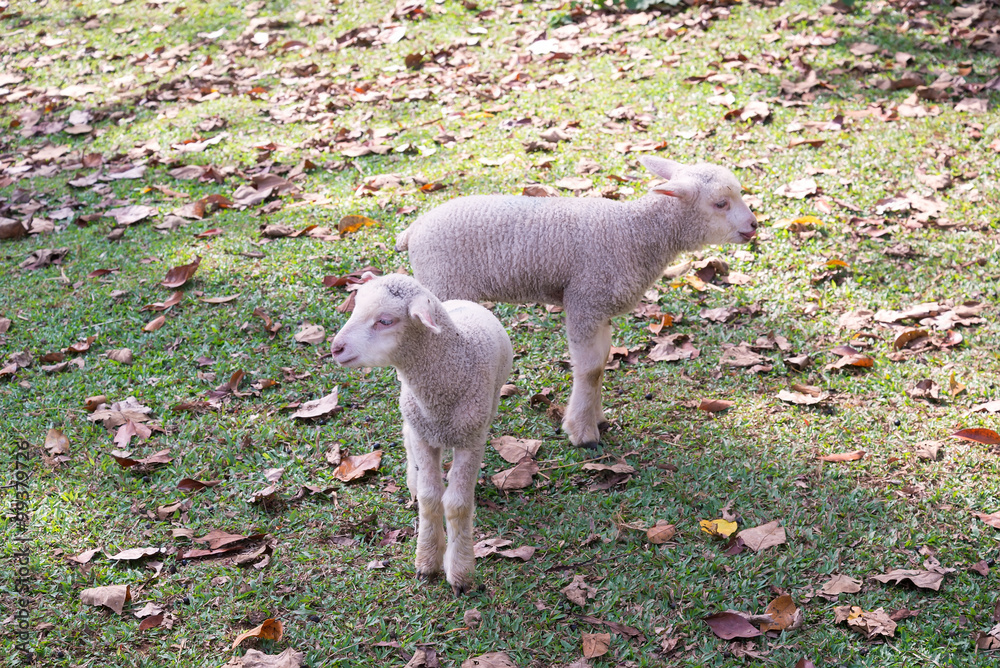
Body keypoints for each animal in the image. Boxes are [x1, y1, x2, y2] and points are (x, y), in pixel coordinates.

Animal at [332, 272, 516, 596]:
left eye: (385, 321)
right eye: (355, 308)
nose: (335, 348)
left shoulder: (471, 439)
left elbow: (457, 504)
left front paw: (460, 572)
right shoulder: (423, 435)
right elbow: (431, 498)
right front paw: (427, 561)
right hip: (410, 410)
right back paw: (413, 480)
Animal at [398, 155, 756, 448]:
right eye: (721, 203)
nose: (754, 225)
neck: (636, 233)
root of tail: (412, 230)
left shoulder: (600, 307)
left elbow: (602, 362)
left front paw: (597, 419)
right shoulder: (585, 298)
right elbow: (590, 367)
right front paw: (582, 433)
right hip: (442, 286)